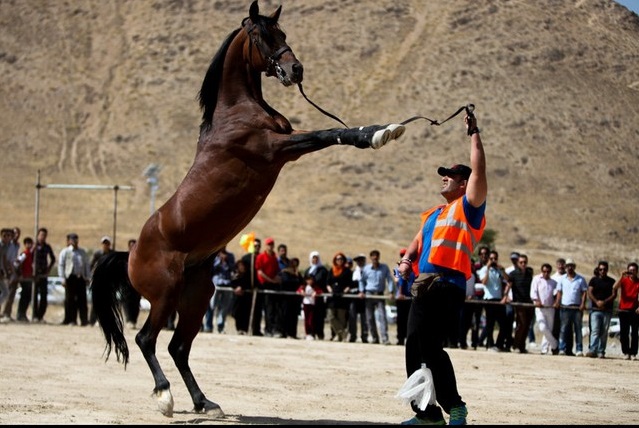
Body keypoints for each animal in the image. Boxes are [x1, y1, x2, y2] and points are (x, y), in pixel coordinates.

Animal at [91, 0, 404, 418]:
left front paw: (384, 129)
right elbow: (327, 133)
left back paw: (205, 402)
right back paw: (165, 396)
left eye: (283, 33)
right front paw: (378, 135)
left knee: (177, 346)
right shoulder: (276, 149)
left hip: (197, 297)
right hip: (164, 295)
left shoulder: (285, 144)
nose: (295, 70)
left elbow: (328, 133)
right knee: (146, 339)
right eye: (263, 36)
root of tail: (129, 255)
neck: (236, 112)